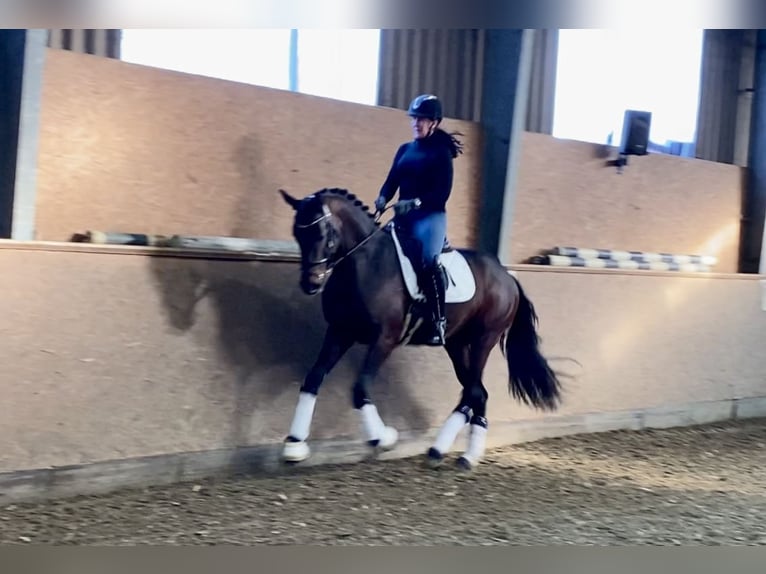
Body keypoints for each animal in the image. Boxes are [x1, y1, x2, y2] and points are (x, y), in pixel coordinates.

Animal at [278, 187, 564, 470]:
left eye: (324, 234)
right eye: (297, 234)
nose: (311, 283)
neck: (366, 264)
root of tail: (507, 276)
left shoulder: (384, 339)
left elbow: (360, 389)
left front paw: (384, 438)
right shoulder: (339, 332)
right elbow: (313, 379)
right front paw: (294, 445)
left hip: (484, 339)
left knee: (476, 392)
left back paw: (464, 455)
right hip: (456, 343)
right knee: (475, 392)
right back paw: (445, 451)